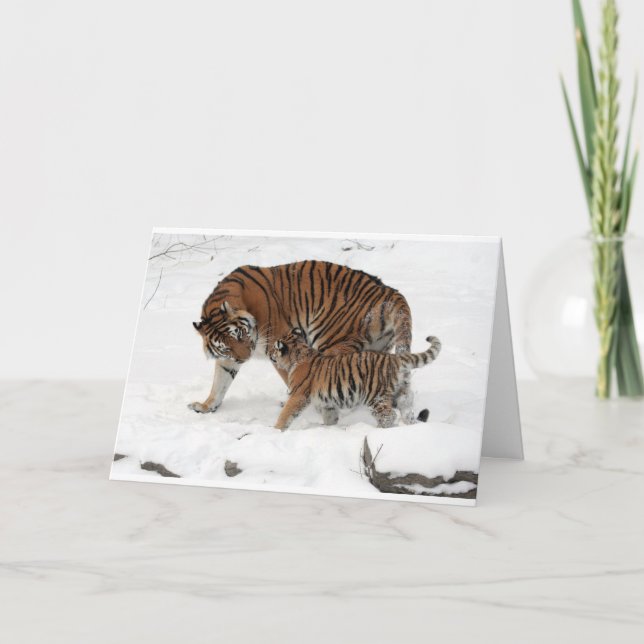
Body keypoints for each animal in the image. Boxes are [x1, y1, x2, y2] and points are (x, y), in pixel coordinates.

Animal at [189, 260, 412, 414]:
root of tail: (389, 292)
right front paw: (206, 406)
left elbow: (292, 380)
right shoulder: (228, 359)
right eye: (225, 347)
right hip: (375, 349)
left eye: (240, 334)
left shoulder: (279, 347)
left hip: (331, 341)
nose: (245, 358)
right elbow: (220, 381)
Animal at [269, 328, 442, 430]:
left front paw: (276, 429)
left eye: (274, 349)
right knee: (407, 412)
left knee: (389, 415)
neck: (299, 354)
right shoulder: (328, 402)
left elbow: (286, 413)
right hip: (402, 392)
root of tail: (395, 358)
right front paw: (328, 428)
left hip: (375, 396)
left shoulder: (298, 395)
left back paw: (378, 430)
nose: (270, 353)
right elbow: (330, 417)